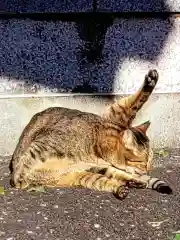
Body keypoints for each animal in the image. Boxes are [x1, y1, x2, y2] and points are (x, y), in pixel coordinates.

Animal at [9, 69, 172, 199]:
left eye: (151, 162)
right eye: (144, 162)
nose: (149, 169)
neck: (95, 146)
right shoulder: (116, 115)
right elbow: (136, 103)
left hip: (84, 173)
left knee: (108, 179)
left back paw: (126, 186)